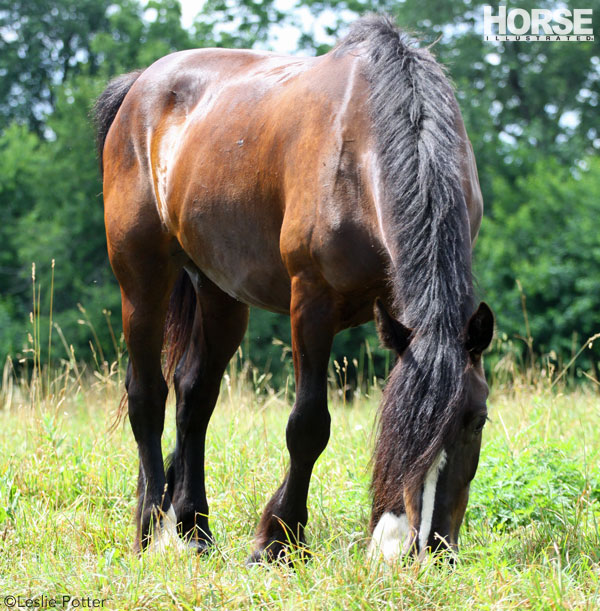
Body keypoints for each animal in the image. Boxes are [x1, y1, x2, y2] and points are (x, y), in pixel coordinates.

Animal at [95, 14, 492, 560]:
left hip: (220, 292)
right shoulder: (311, 304)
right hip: (141, 279)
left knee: (195, 395)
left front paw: (382, 532)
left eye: (478, 419)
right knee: (148, 396)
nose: (430, 545)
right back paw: (153, 529)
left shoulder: (398, 317)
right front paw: (278, 539)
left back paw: (195, 529)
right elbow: (308, 425)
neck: (363, 148)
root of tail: (139, 87)